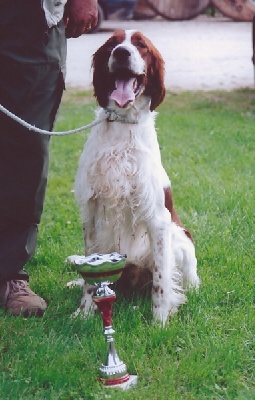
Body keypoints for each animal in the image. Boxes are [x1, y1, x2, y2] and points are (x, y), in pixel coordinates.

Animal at [67, 31, 199, 324]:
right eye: (112, 43)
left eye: (141, 45)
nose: (122, 53)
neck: (121, 127)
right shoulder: (91, 213)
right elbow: (90, 277)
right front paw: (84, 312)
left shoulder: (158, 219)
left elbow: (161, 279)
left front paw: (160, 321)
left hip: (180, 240)